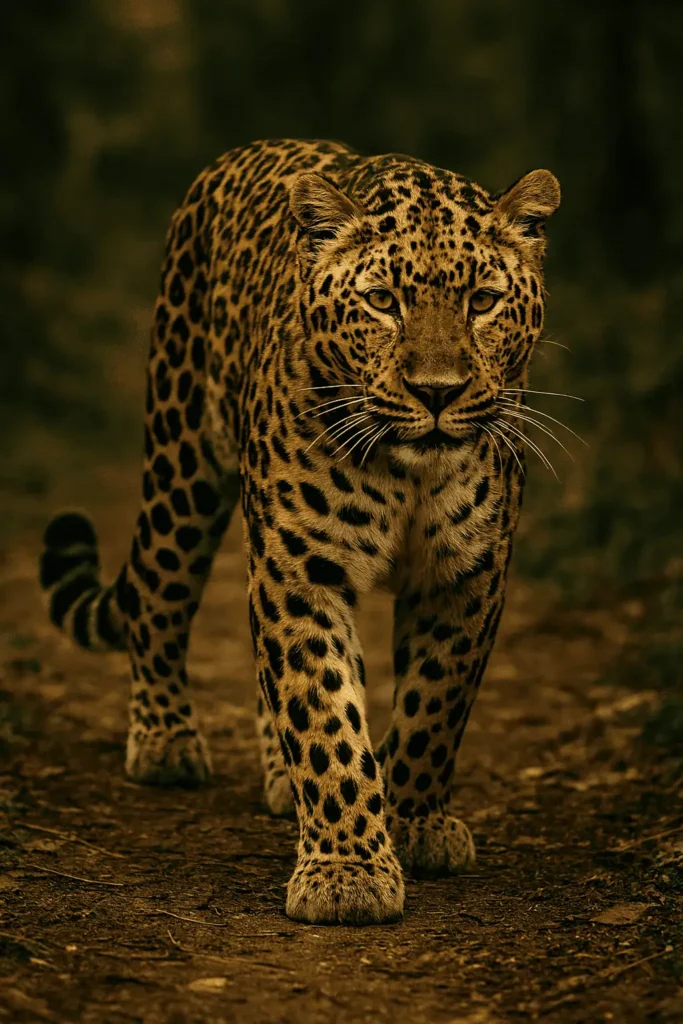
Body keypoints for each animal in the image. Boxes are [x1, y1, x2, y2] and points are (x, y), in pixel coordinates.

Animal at [39, 138, 560, 925]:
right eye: (382, 302)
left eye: (482, 301)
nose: (435, 393)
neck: (410, 472)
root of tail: (247, 149)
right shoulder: (299, 568)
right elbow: (321, 713)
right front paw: (348, 869)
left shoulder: (470, 574)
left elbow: (433, 706)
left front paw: (413, 821)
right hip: (180, 458)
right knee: (160, 598)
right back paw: (164, 740)